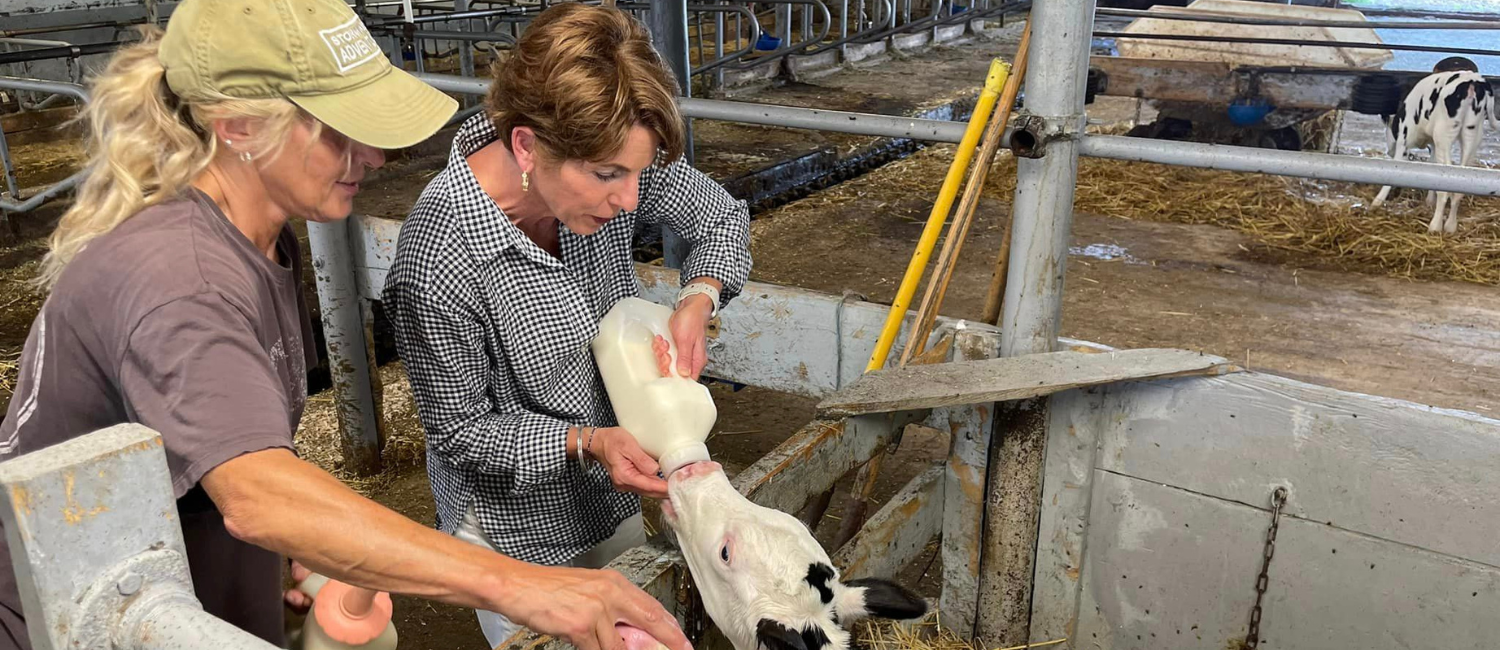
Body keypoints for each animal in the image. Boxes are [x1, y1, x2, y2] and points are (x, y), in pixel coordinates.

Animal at [1374, 69, 1494, 231]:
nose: (1389, 151)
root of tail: (1472, 80)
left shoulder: (1404, 141)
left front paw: (1377, 201)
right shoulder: (1434, 145)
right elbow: (1433, 168)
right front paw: (1429, 201)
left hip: (1444, 134)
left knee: (1446, 184)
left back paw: (1435, 226)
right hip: (1472, 134)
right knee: (1460, 185)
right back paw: (1450, 226)